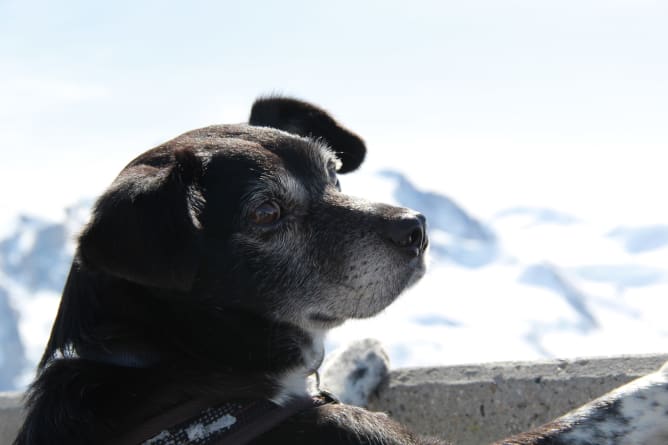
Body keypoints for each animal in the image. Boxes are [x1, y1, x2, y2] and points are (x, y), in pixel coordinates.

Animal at [14, 98, 668, 444]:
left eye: (333, 172)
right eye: (266, 212)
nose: (417, 228)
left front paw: (357, 358)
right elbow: (594, 415)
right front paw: (657, 384)